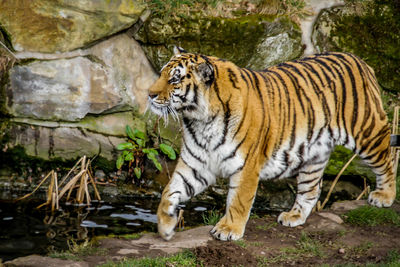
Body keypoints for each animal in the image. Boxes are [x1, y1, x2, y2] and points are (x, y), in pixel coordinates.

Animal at [148, 47, 396, 242]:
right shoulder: (196, 164)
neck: (200, 120)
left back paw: (385, 196)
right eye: (161, 74)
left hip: (367, 132)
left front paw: (228, 229)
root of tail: (358, 59)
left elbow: (238, 201)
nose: (149, 94)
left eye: (175, 79)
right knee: (311, 188)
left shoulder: (246, 166)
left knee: (387, 159)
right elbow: (169, 192)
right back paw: (294, 216)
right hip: (314, 154)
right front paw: (165, 226)